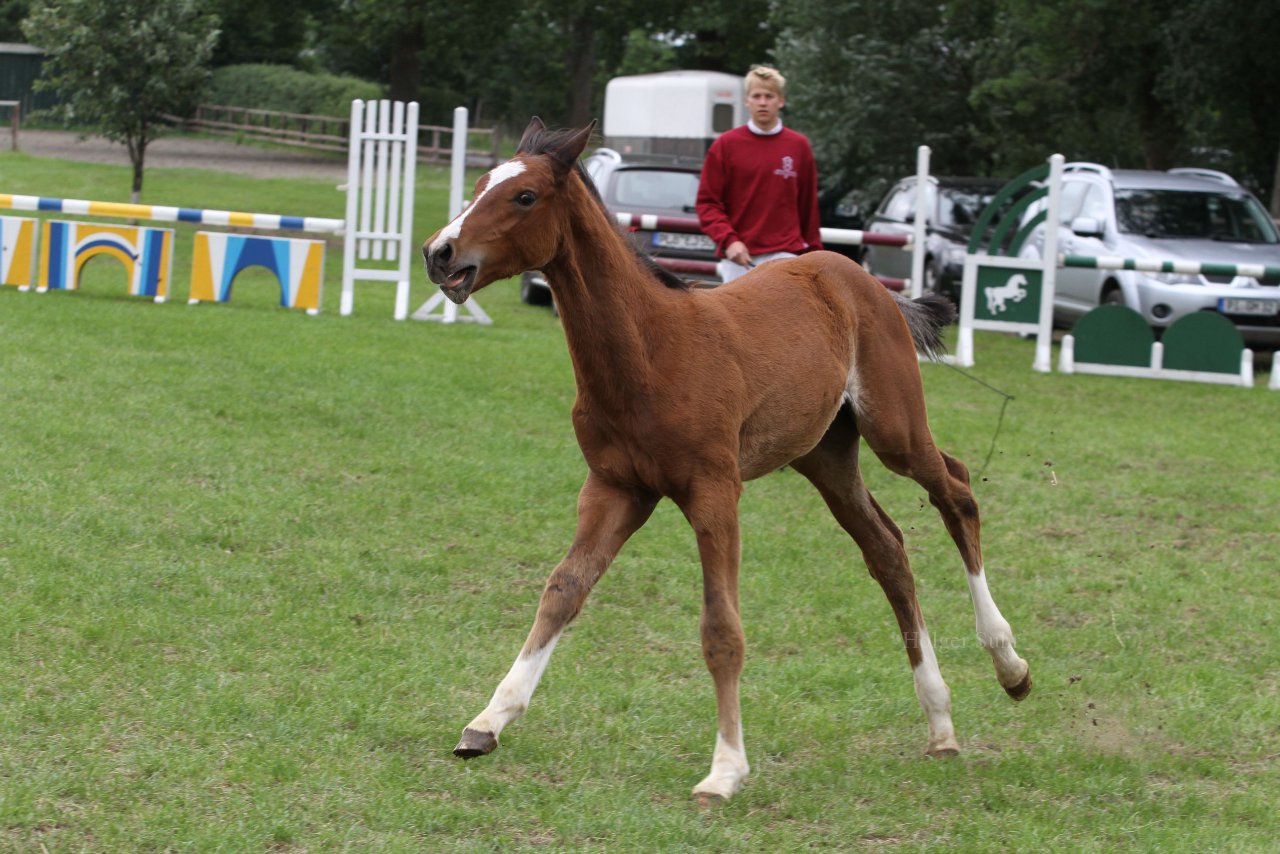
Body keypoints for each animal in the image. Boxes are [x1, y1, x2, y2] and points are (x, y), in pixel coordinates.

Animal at [419, 120, 1029, 809]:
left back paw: (1010, 665)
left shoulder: (714, 491)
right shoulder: (614, 488)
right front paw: (486, 722)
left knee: (956, 490)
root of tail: (862, 279)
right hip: (825, 457)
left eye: (524, 196)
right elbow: (563, 590)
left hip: (894, 429)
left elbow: (721, 629)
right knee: (888, 550)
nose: (439, 252)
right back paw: (940, 722)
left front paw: (726, 768)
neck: (650, 350)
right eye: (479, 184)